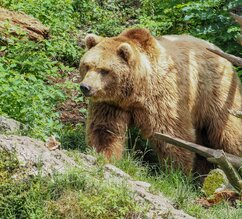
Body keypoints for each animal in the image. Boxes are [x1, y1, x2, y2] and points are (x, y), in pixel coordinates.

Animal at [79, 27, 242, 175]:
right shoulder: (111, 103)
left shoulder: (162, 97)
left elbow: (171, 135)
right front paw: (103, 155)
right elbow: (104, 129)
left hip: (216, 91)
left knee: (228, 131)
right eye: (87, 65)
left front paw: (177, 172)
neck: (134, 93)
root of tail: (219, 51)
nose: (85, 87)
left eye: (104, 70)